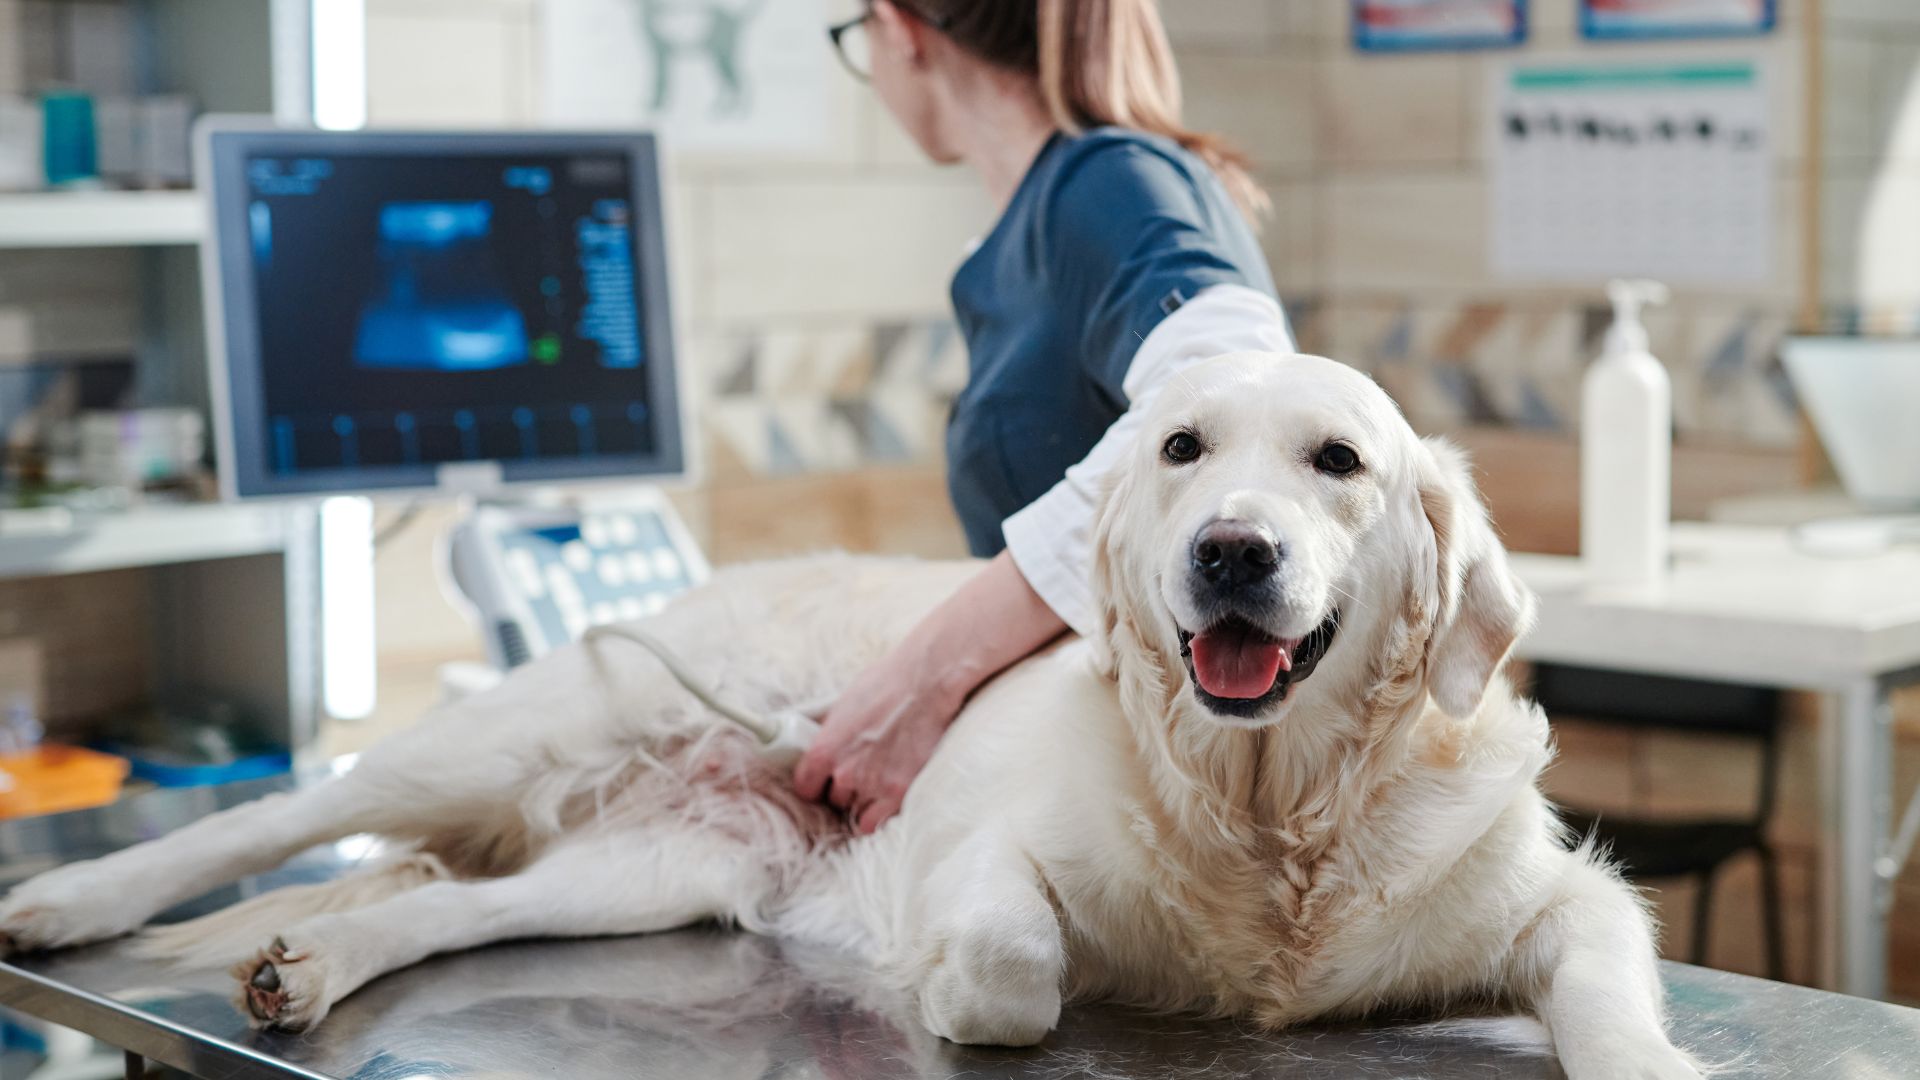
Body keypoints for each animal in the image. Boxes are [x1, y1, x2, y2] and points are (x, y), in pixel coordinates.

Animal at [0, 355, 1697, 1076]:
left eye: (1338, 462)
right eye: (1181, 450)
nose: (1232, 552)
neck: (1272, 808)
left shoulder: (1567, 899)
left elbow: (1609, 997)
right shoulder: (981, 848)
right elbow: (1012, 959)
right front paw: (952, 988)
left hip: (654, 869)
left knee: (442, 905)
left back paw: (310, 964)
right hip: (524, 731)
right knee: (286, 816)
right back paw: (69, 899)